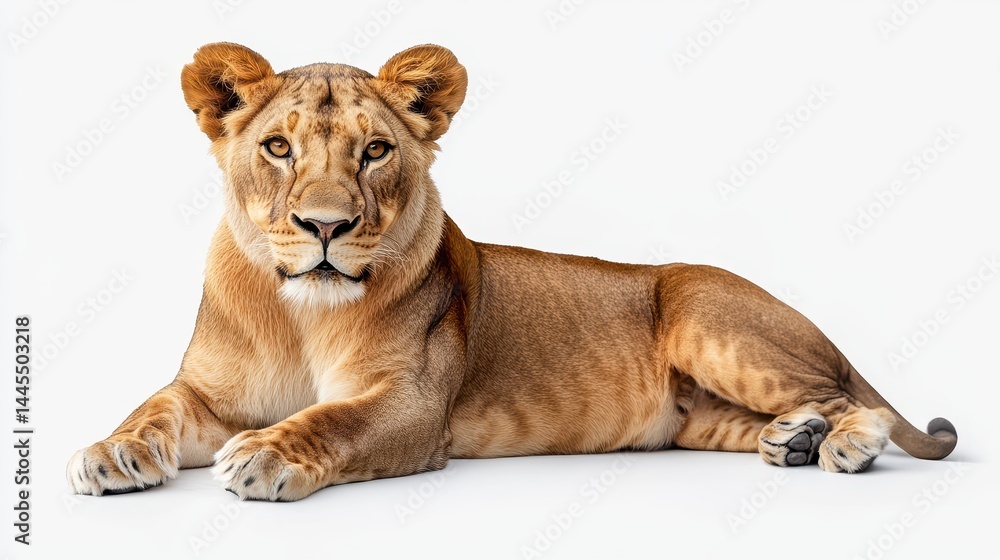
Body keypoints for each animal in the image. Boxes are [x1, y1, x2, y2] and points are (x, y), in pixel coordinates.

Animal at [66, 43, 957, 501]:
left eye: (375, 150)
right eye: (278, 148)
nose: (325, 227)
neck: (301, 311)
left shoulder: (412, 406)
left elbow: (332, 421)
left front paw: (264, 457)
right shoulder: (208, 394)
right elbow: (153, 407)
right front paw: (110, 453)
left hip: (709, 317)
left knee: (853, 400)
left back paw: (843, 444)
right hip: (698, 418)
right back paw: (793, 440)